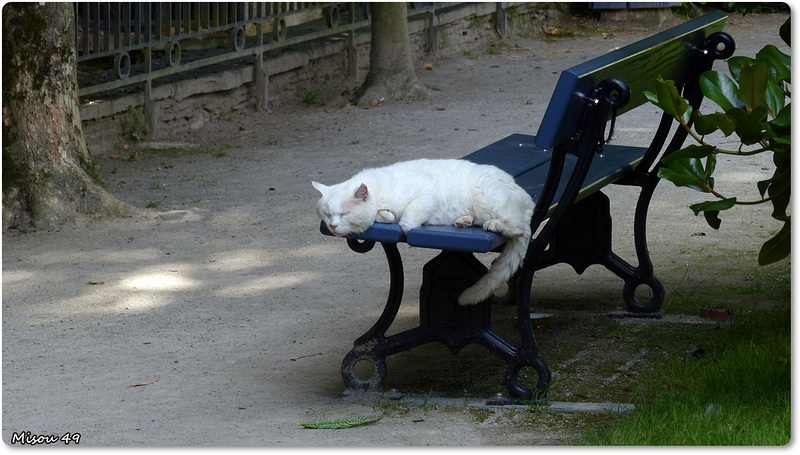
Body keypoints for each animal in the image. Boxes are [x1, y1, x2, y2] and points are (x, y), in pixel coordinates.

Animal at [312, 159, 532, 306]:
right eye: (327, 214)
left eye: (344, 213)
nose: (333, 226)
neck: (381, 192)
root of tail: (528, 198)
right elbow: (386, 215)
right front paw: (385, 215)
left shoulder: (425, 197)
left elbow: (406, 223)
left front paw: (399, 222)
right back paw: (463, 220)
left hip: (490, 199)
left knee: (518, 227)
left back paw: (494, 225)